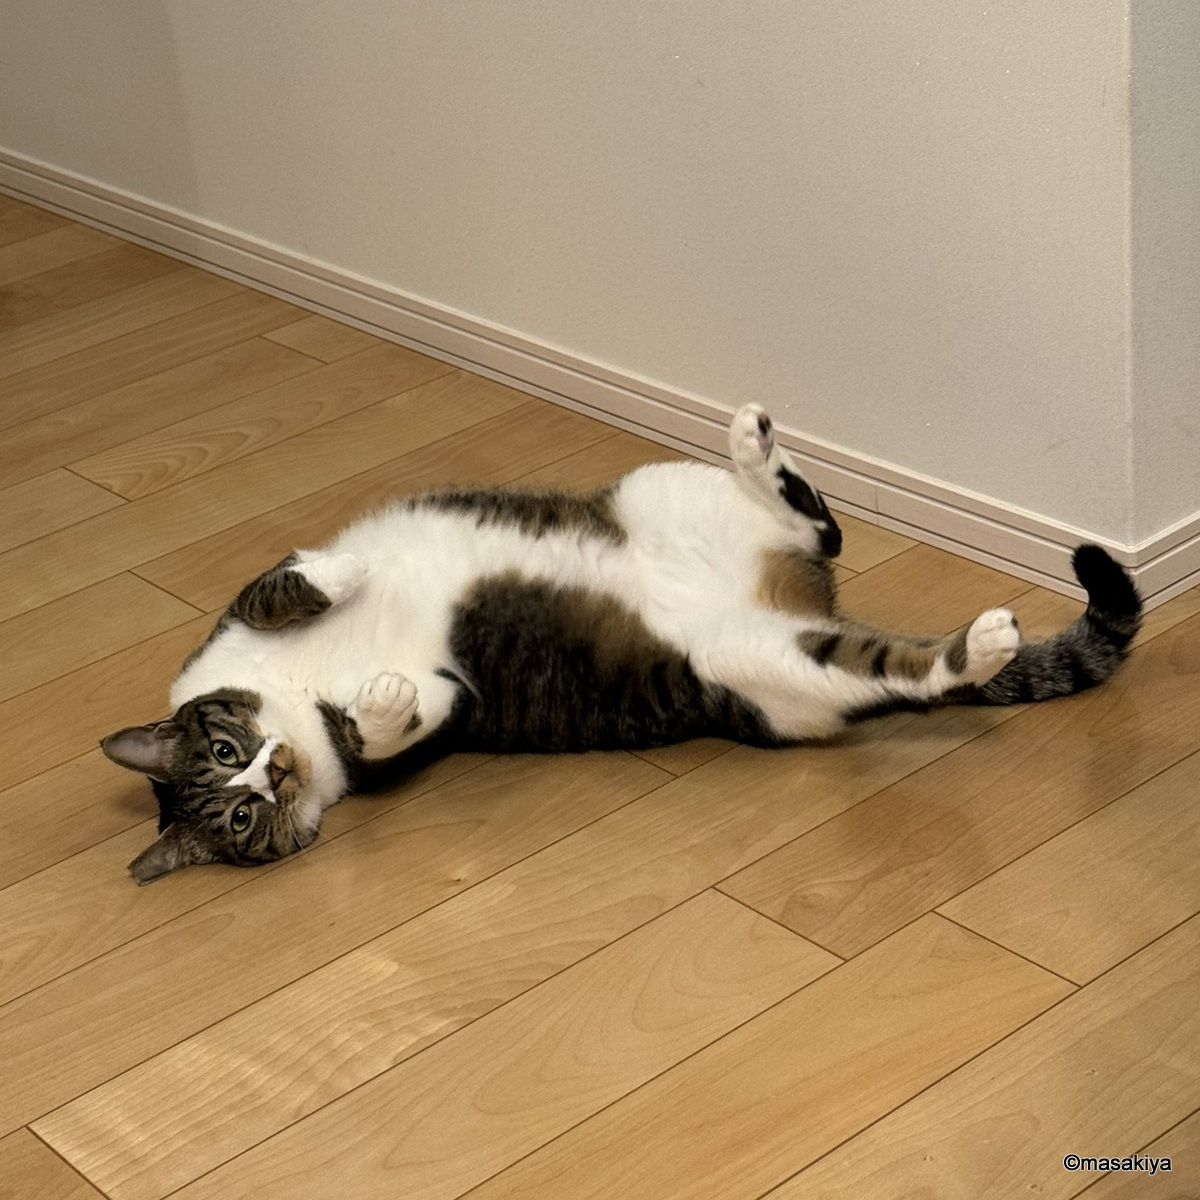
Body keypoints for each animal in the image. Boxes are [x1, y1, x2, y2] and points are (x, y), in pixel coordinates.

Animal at [102, 405, 1142, 884]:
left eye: (225, 749)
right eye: (241, 817)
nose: (272, 770)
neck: (299, 695)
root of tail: (798, 605)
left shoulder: (235, 619)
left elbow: (283, 582)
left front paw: (347, 577)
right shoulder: (449, 705)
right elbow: (403, 719)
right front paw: (380, 699)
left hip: (656, 488)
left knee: (817, 527)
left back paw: (755, 446)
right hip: (769, 672)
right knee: (902, 668)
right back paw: (978, 646)